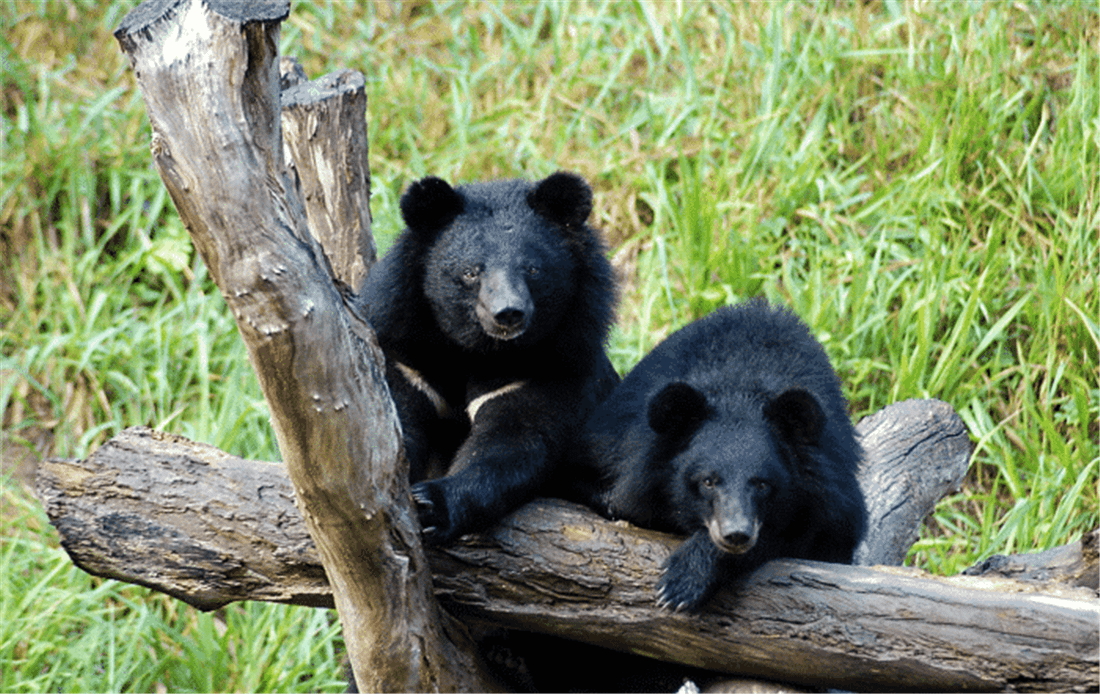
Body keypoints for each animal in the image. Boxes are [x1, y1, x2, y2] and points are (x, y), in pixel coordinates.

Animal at [358, 171, 620, 545]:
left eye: (533, 269)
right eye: (471, 272)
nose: (508, 313)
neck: (481, 351)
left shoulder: (554, 367)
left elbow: (512, 443)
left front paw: (432, 505)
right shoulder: (406, 355)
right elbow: (395, 425)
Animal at [585, 299, 866, 611]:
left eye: (763, 484)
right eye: (708, 481)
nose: (736, 535)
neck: (740, 384)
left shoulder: (830, 491)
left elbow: (803, 534)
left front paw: (680, 582)